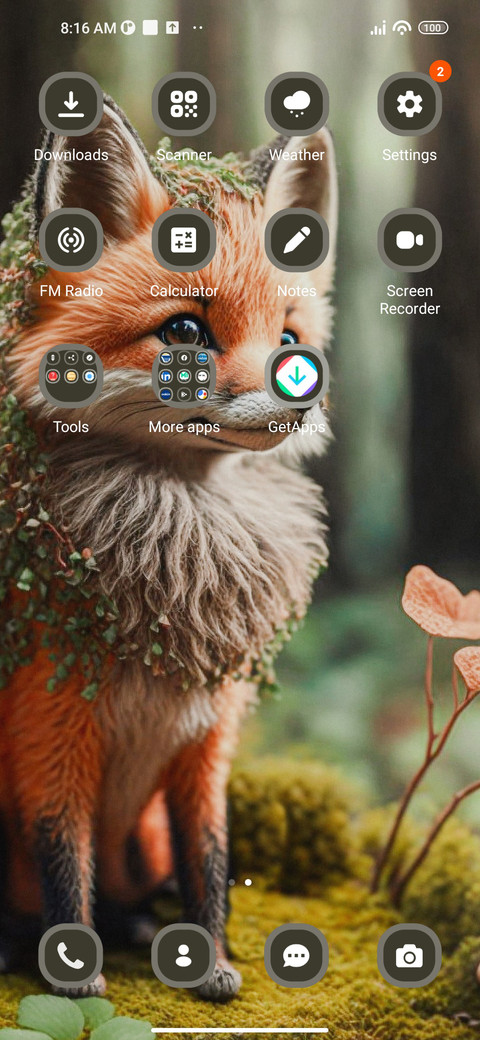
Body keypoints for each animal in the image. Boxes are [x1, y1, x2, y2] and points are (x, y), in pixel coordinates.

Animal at [0, 95, 337, 1000]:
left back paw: (142, 926)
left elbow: (209, 861)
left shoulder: (207, 740)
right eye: (184, 330)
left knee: (136, 888)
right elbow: (62, 860)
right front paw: (72, 977)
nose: (300, 397)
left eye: (289, 337)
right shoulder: (51, 732)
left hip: (141, 834)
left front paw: (210, 959)